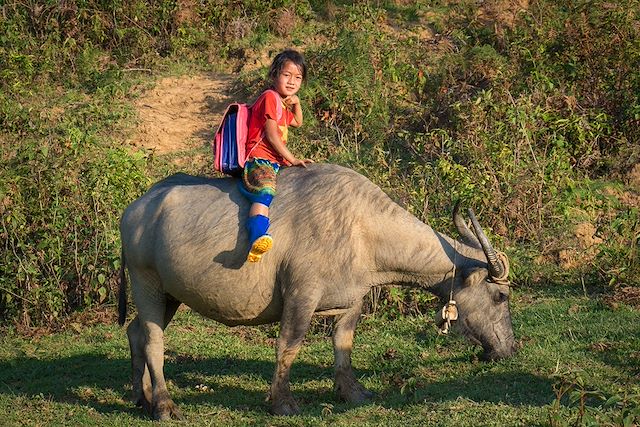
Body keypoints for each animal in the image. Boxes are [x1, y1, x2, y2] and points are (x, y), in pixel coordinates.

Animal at [117, 164, 512, 422]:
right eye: (500, 297)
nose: (509, 349)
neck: (363, 227)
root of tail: (136, 207)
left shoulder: (352, 299)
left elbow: (343, 344)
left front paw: (351, 392)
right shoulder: (300, 296)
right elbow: (288, 347)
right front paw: (282, 402)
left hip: (170, 295)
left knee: (135, 332)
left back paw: (141, 397)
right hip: (146, 283)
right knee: (153, 341)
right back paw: (164, 406)